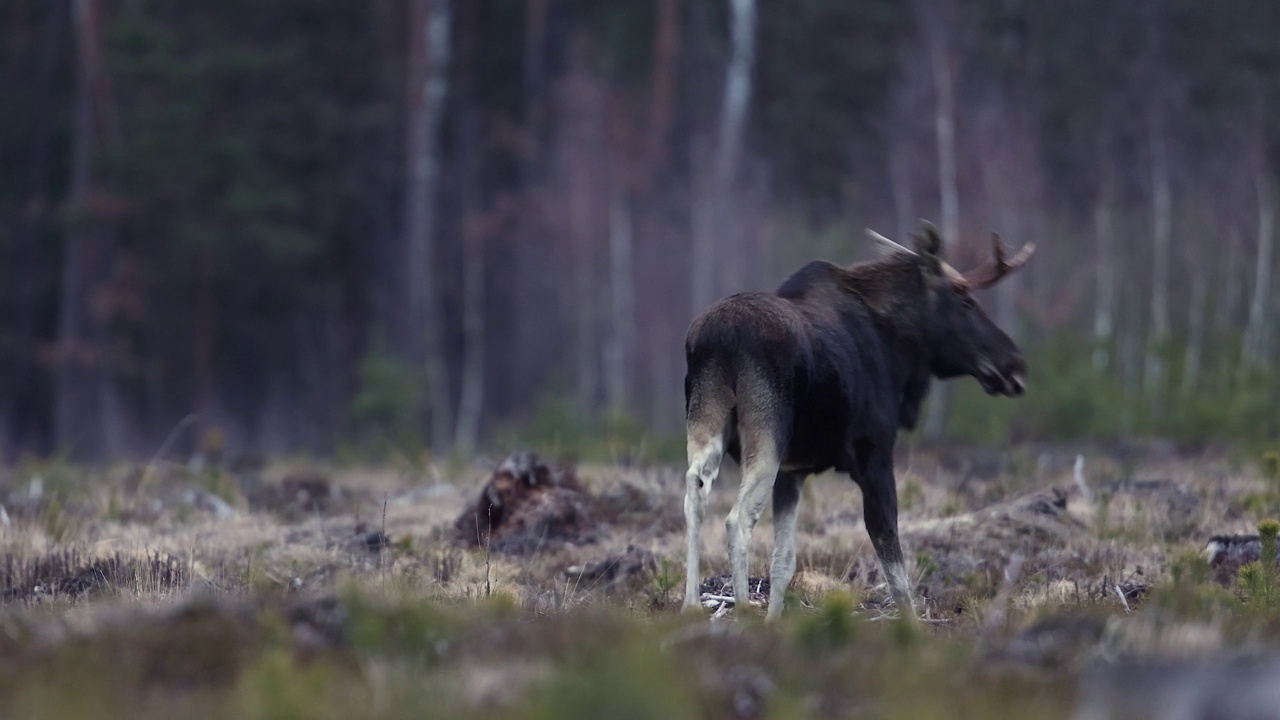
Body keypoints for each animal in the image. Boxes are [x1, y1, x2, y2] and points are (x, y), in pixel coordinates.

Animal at [680, 220, 1029, 617]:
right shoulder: (874, 454)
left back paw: (690, 604)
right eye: (965, 300)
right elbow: (892, 556)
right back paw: (741, 610)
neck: (900, 353)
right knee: (737, 519)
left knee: (695, 492)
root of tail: (718, 339)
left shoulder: (793, 472)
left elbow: (783, 561)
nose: (1014, 364)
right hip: (765, 433)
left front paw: (774, 621)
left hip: (706, 419)